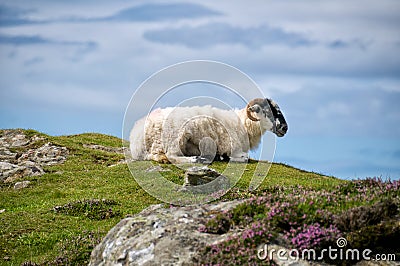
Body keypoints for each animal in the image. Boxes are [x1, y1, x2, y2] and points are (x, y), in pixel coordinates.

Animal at [129, 97, 288, 164]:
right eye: (268, 111)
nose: (285, 128)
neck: (243, 124)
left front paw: (220, 157)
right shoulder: (233, 148)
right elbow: (244, 158)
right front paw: (225, 158)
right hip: (176, 135)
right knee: (171, 156)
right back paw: (197, 159)